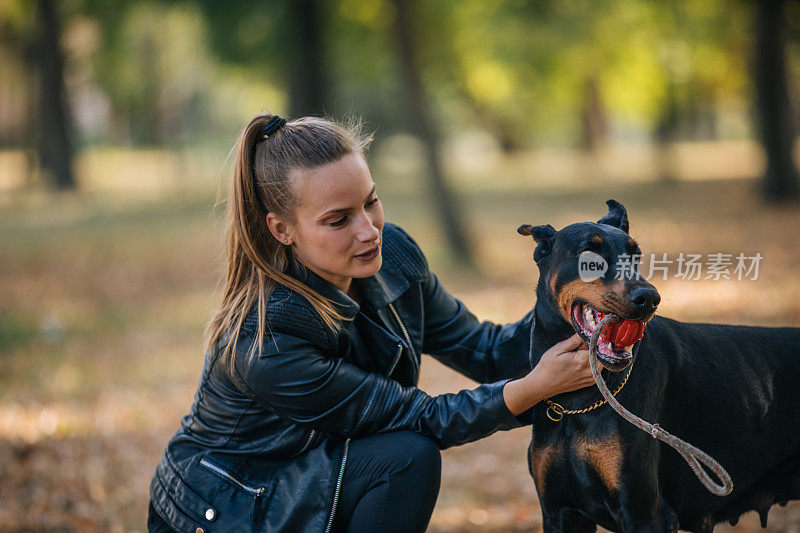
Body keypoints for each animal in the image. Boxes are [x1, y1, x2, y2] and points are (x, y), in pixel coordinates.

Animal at [516, 201, 800, 532]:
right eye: (589, 255)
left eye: (635, 256)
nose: (649, 297)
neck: (577, 401)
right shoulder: (559, 512)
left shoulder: (645, 512)